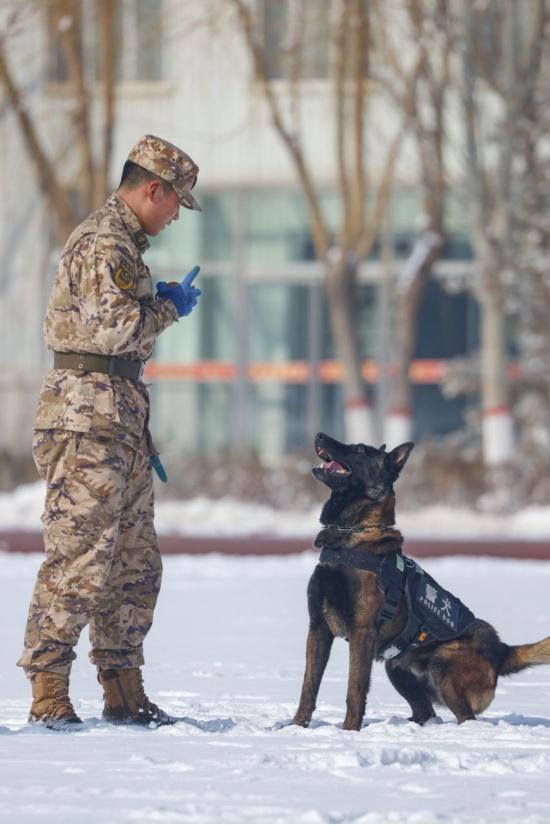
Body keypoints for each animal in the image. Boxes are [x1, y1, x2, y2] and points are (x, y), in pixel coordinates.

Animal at [296, 432, 550, 728]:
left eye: (358, 450)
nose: (320, 435)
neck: (352, 535)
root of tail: (500, 650)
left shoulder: (362, 632)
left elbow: (355, 690)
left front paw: (349, 732)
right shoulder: (318, 627)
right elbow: (308, 686)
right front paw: (294, 727)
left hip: (442, 665)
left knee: (466, 718)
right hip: (396, 667)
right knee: (426, 712)